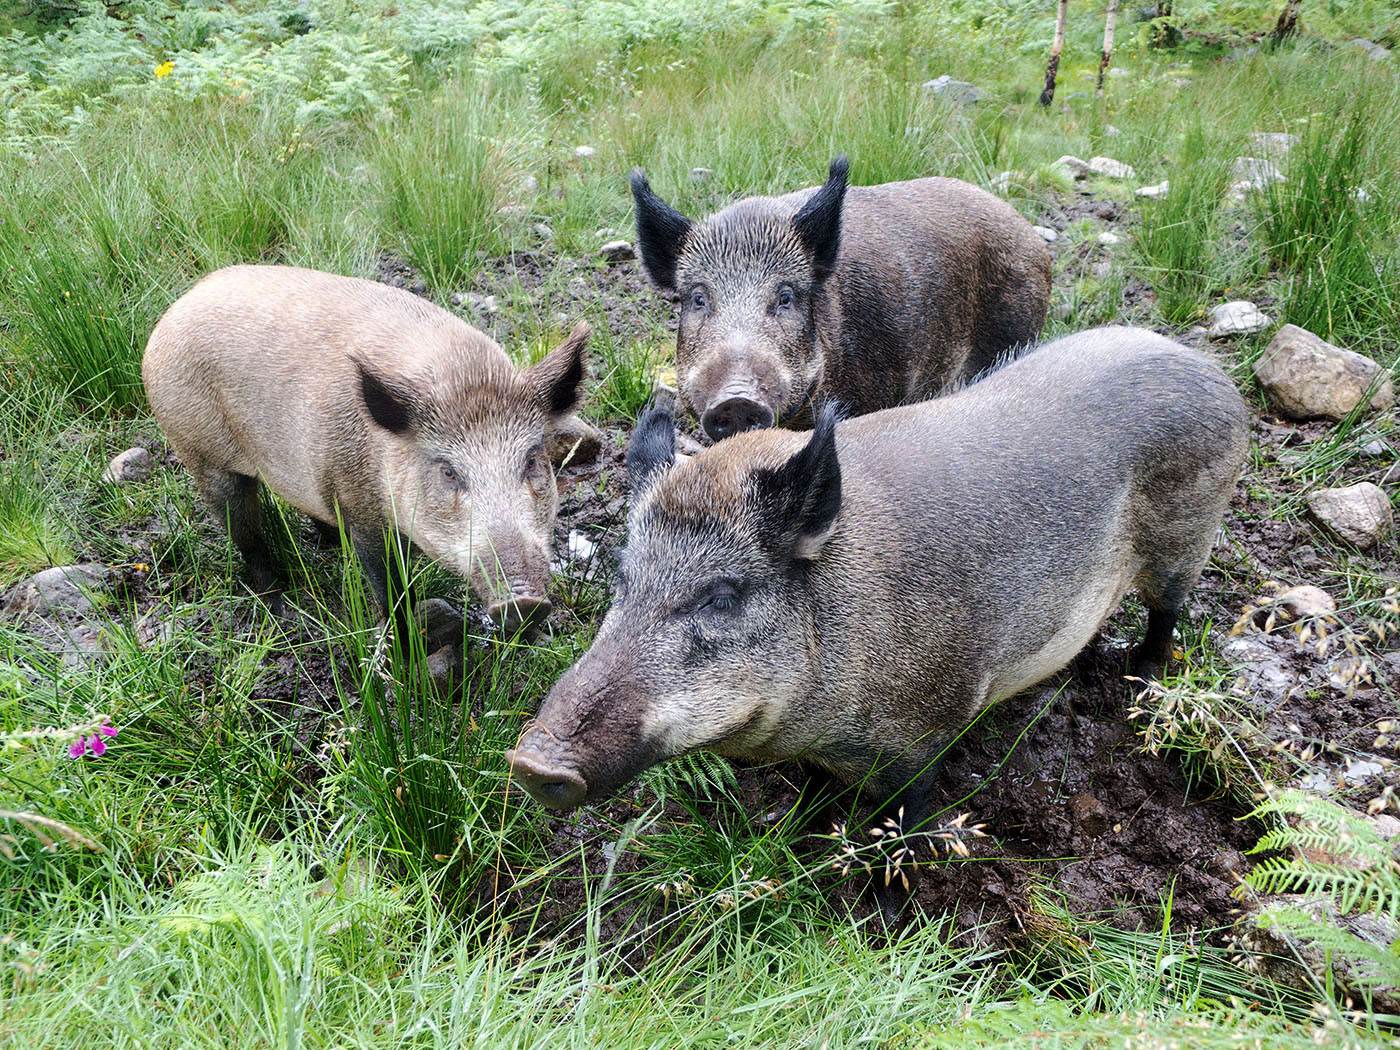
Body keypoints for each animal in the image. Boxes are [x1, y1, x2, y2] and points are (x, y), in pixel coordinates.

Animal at [142, 264, 591, 633]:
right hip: (199, 451)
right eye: (447, 470)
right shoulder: (362, 513)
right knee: (245, 535)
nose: (525, 602)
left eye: (532, 459)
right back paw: (281, 609)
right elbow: (389, 588)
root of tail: (172, 312)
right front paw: (406, 647)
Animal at [508, 326, 1248, 911]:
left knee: (1168, 612)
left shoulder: (928, 733)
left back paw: (1139, 678)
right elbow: (814, 799)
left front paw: (885, 918)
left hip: (1187, 538)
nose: (532, 759)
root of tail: (1213, 373)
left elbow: (903, 833)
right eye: (623, 580)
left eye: (720, 595)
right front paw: (799, 832)